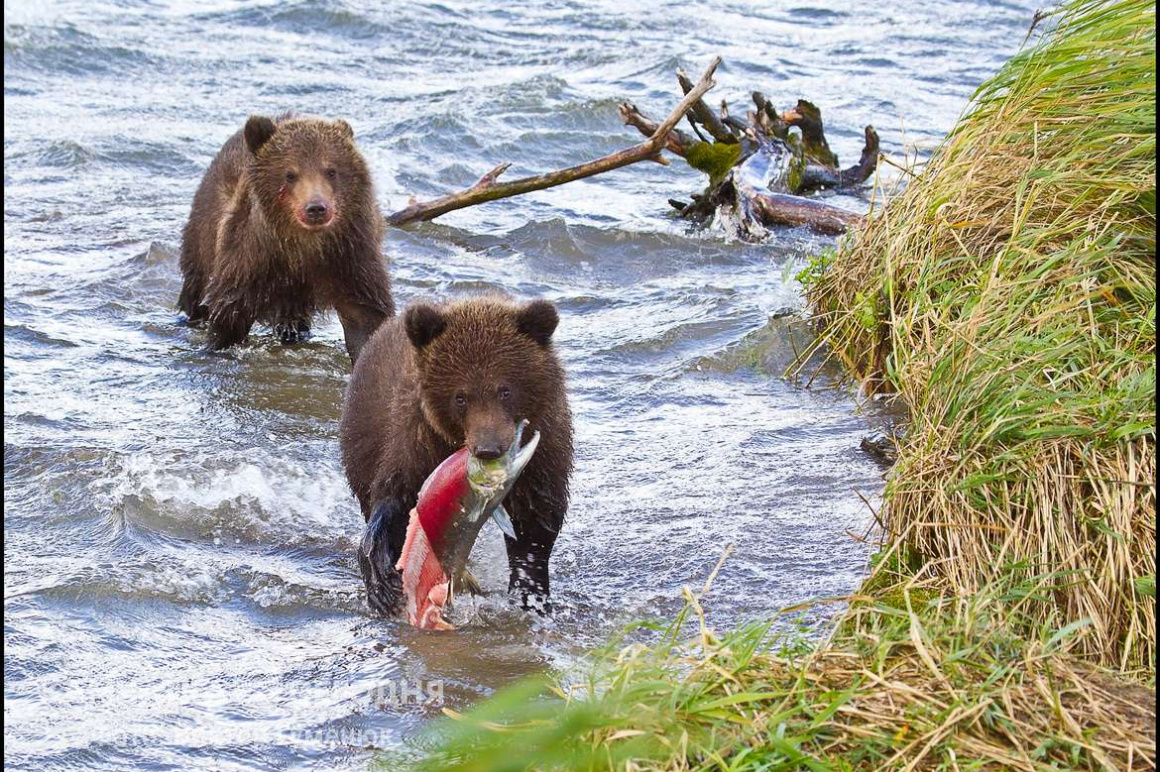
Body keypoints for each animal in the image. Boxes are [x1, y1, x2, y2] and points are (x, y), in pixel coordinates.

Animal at [177, 114, 394, 361]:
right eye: (290, 174)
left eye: (331, 170)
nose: (316, 208)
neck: (303, 246)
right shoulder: (251, 259)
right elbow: (230, 315)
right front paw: (218, 345)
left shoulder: (351, 255)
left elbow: (365, 316)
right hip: (203, 233)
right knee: (196, 286)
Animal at [338, 294, 575, 612]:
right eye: (460, 396)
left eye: (505, 390)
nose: (488, 448)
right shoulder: (416, 442)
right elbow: (396, 500)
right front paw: (383, 582)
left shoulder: (545, 452)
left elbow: (535, 523)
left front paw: (530, 594)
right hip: (362, 439)